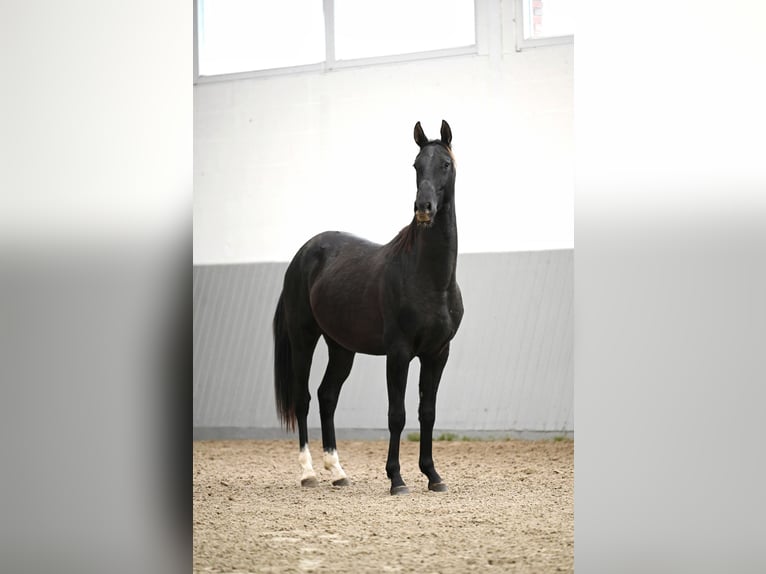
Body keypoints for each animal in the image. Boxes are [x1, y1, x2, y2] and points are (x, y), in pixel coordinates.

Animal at [276, 120, 468, 496]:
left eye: (445, 164)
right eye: (415, 165)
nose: (423, 208)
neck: (428, 278)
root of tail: (304, 253)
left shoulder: (437, 353)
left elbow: (427, 413)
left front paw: (433, 476)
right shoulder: (399, 353)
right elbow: (397, 415)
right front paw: (397, 479)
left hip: (341, 348)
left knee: (327, 396)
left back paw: (337, 472)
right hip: (304, 338)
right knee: (303, 398)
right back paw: (308, 473)